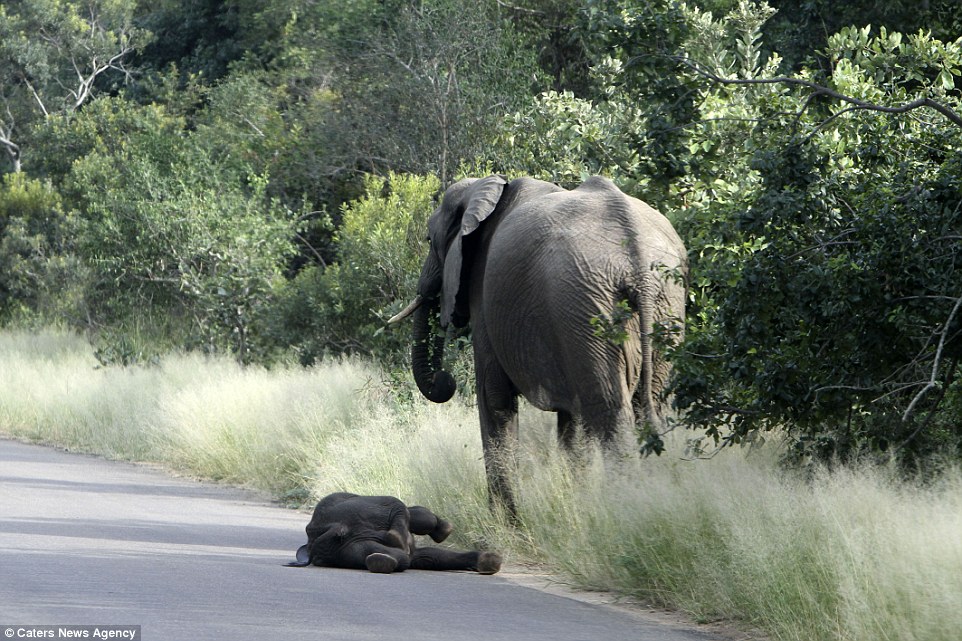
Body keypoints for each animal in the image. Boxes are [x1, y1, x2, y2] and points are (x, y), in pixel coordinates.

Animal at [286, 490, 502, 576]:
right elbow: (422, 518)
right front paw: (444, 530)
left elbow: (431, 558)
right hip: (368, 506)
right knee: (397, 505)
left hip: (342, 551)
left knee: (390, 556)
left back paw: (381, 561)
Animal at [386, 174, 688, 504]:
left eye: (429, 241)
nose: (445, 379)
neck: (486, 191)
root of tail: (637, 259)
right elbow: (572, 416)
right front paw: (576, 500)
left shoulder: (484, 292)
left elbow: (494, 397)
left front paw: (506, 519)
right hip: (660, 305)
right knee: (647, 407)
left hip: (589, 306)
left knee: (610, 412)